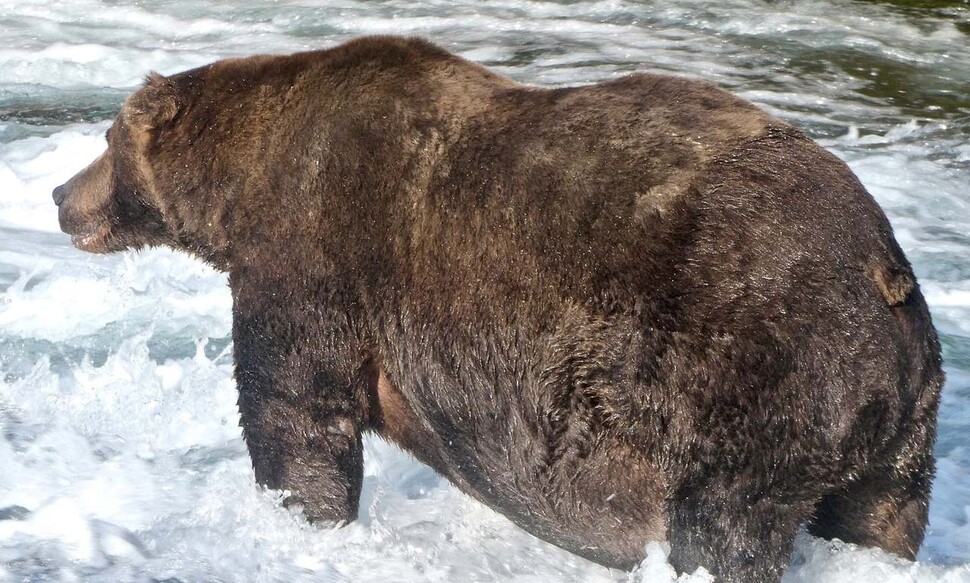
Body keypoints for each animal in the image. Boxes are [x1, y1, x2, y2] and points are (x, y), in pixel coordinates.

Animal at [49, 35, 940, 583]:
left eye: (105, 139)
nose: (59, 195)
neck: (240, 186)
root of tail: (882, 270)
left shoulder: (314, 250)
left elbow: (295, 408)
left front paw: (300, 516)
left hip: (748, 368)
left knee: (722, 526)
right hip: (897, 423)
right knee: (879, 514)